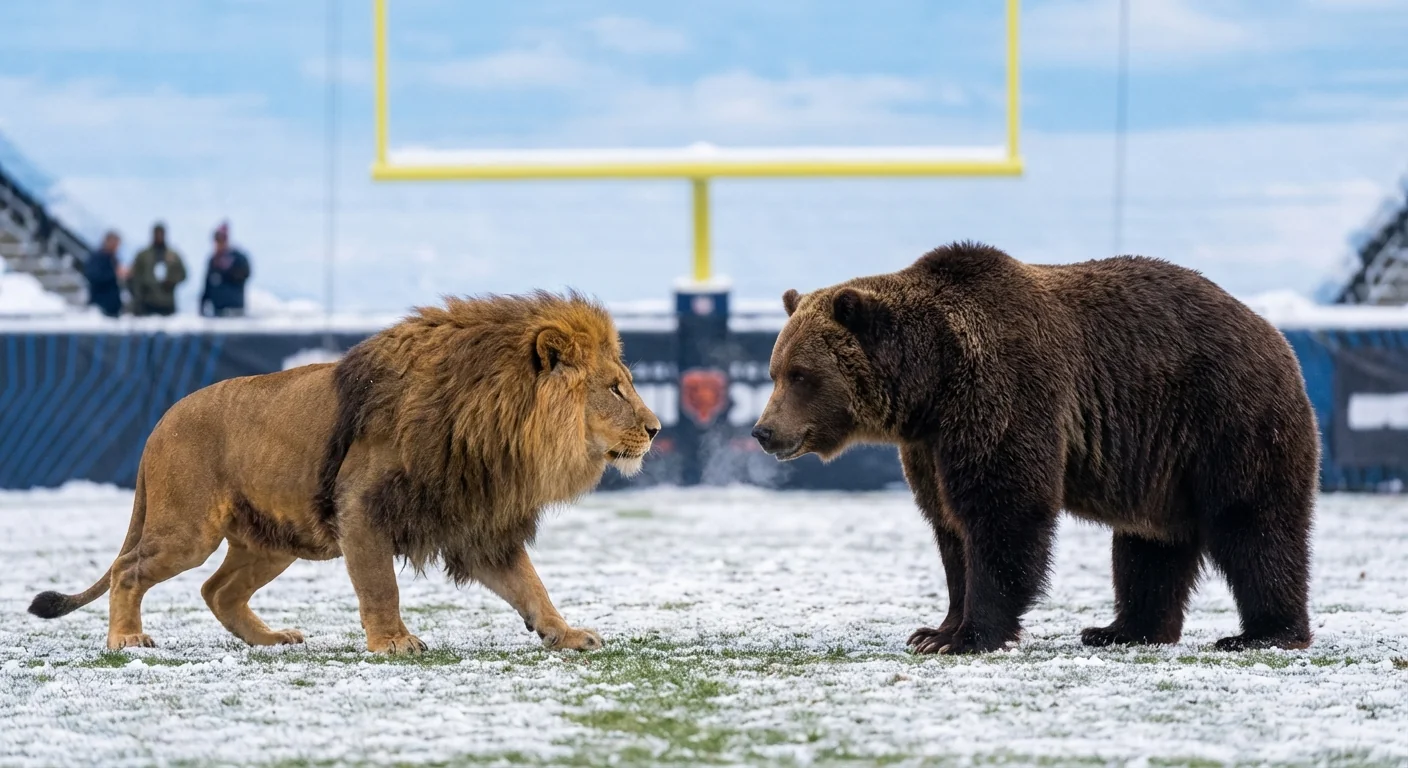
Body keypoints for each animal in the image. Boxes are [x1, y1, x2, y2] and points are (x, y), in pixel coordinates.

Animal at [28, 291, 661, 654]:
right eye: (615, 388)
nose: (656, 428)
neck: (493, 422)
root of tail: (159, 422)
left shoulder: (476, 525)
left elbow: (532, 586)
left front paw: (564, 633)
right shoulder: (362, 509)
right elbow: (381, 586)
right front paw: (394, 643)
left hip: (273, 540)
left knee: (216, 589)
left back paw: (271, 639)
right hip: (187, 530)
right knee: (128, 570)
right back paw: (127, 638)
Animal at [751, 241, 1319, 654]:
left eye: (801, 374)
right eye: (775, 370)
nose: (763, 431)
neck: (932, 383)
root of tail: (1276, 336)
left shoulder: (1004, 395)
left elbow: (1003, 510)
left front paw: (968, 636)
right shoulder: (931, 446)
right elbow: (950, 528)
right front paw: (934, 631)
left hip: (1226, 420)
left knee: (1253, 525)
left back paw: (1262, 633)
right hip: (1159, 462)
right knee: (1148, 545)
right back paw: (1120, 629)